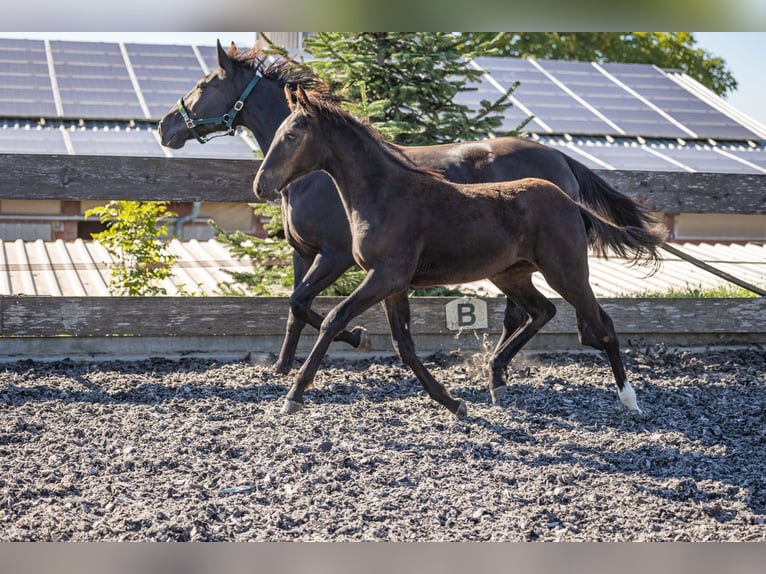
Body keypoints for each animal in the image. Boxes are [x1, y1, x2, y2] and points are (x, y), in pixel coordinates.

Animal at [158, 41, 657, 375]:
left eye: (203, 84)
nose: (165, 128)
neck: (319, 174)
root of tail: (561, 159)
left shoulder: (337, 255)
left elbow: (304, 304)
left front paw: (358, 339)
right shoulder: (305, 252)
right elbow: (294, 307)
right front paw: (282, 368)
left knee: (527, 312)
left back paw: (494, 367)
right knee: (527, 311)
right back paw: (494, 367)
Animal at [253, 85, 665, 417]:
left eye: (291, 135)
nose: (261, 185)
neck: (385, 193)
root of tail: (571, 202)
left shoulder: (384, 275)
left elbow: (333, 318)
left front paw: (293, 395)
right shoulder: (393, 284)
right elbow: (404, 345)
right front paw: (453, 402)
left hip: (566, 271)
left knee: (602, 325)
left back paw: (630, 400)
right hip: (511, 274)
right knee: (541, 311)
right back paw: (496, 377)